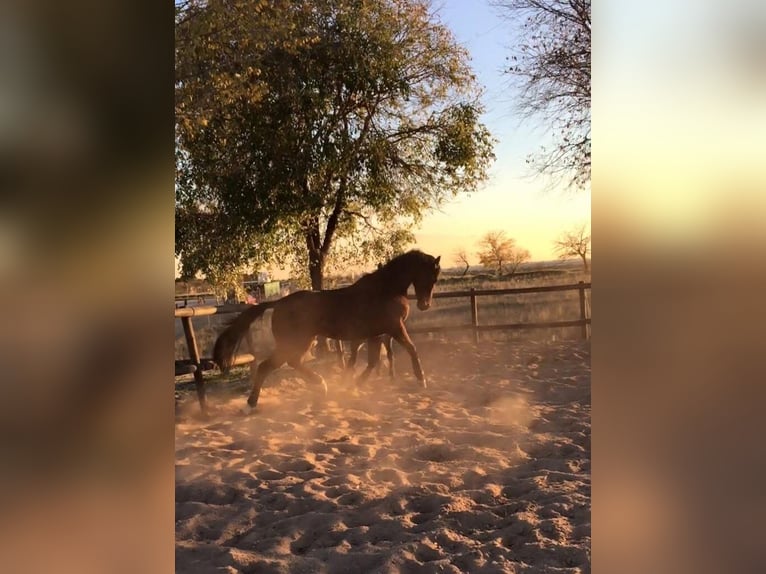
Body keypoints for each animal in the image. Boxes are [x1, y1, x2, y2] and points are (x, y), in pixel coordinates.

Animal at [213, 250, 441, 414]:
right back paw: (250, 405)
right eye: (431, 276)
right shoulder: (394, 328)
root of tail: (277, 303)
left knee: (292, 363)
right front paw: (421, 380)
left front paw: (353, 385)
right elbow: (411, 349)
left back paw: (320, 385)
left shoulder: (375, 334)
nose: (424, 305)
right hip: (295, 343)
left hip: (303, 341)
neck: (385, 290)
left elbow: (373, 361)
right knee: (267, 367)